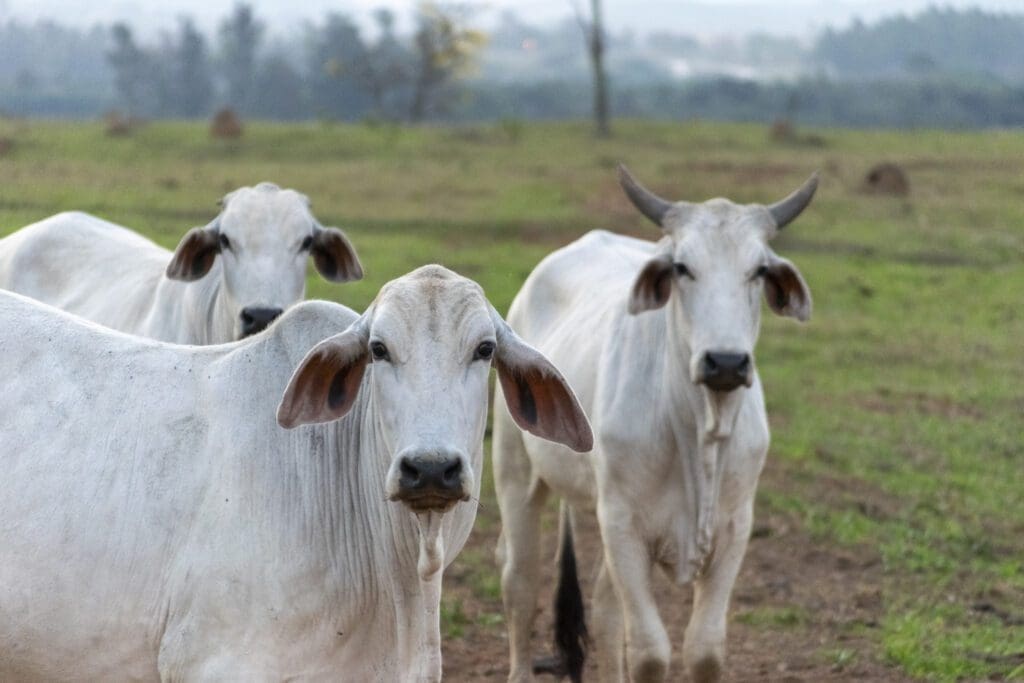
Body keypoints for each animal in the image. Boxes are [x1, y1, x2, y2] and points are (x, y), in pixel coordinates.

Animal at [492, 166, 817, 683]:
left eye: (759, 270)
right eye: (682, 267)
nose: (726, 362)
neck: (699, 429)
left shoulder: (734, 528)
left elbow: (703, 649)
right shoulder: (623, 523)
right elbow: (650, 652)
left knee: (604, 608)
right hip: (516, 474)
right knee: (519, 580)